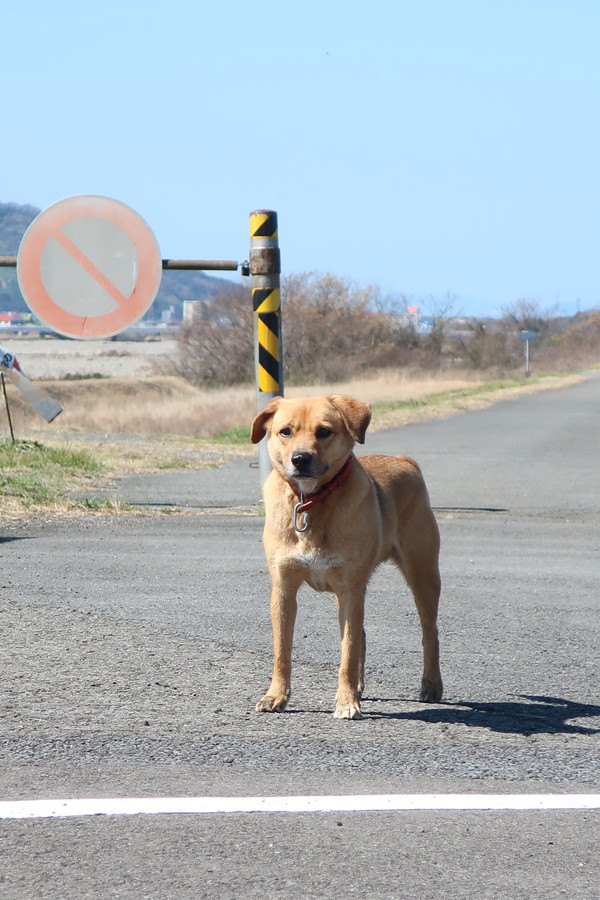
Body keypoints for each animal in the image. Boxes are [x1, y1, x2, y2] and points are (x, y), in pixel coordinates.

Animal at [251, 394, 442, 716]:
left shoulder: (350, 587)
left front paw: (346, 701)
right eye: (285, 431)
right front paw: (276, 695)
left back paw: (431, 685)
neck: (311, 502)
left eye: (324, 431)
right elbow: (282, 651)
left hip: (423, 575)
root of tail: (405, 461)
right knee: (363, 634)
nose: (299, 459)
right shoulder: (284, 588)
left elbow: (348, 651)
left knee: (430, 634)